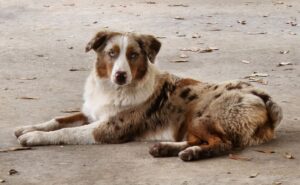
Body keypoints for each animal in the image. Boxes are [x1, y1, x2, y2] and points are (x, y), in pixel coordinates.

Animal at [14, 30, 282, 160]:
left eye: (133, 55)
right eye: (112, 53)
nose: (121, 75)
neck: (112, 89)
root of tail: (263, 96)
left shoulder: (108, 128)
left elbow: (65, 132)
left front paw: (34, 137)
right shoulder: (91, 114)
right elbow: (59, 120)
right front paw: (29, 127)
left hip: (202, 116)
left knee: (222, 143)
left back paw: (191, 154)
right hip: (191, 124)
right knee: (201, 140)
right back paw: (164, 148)